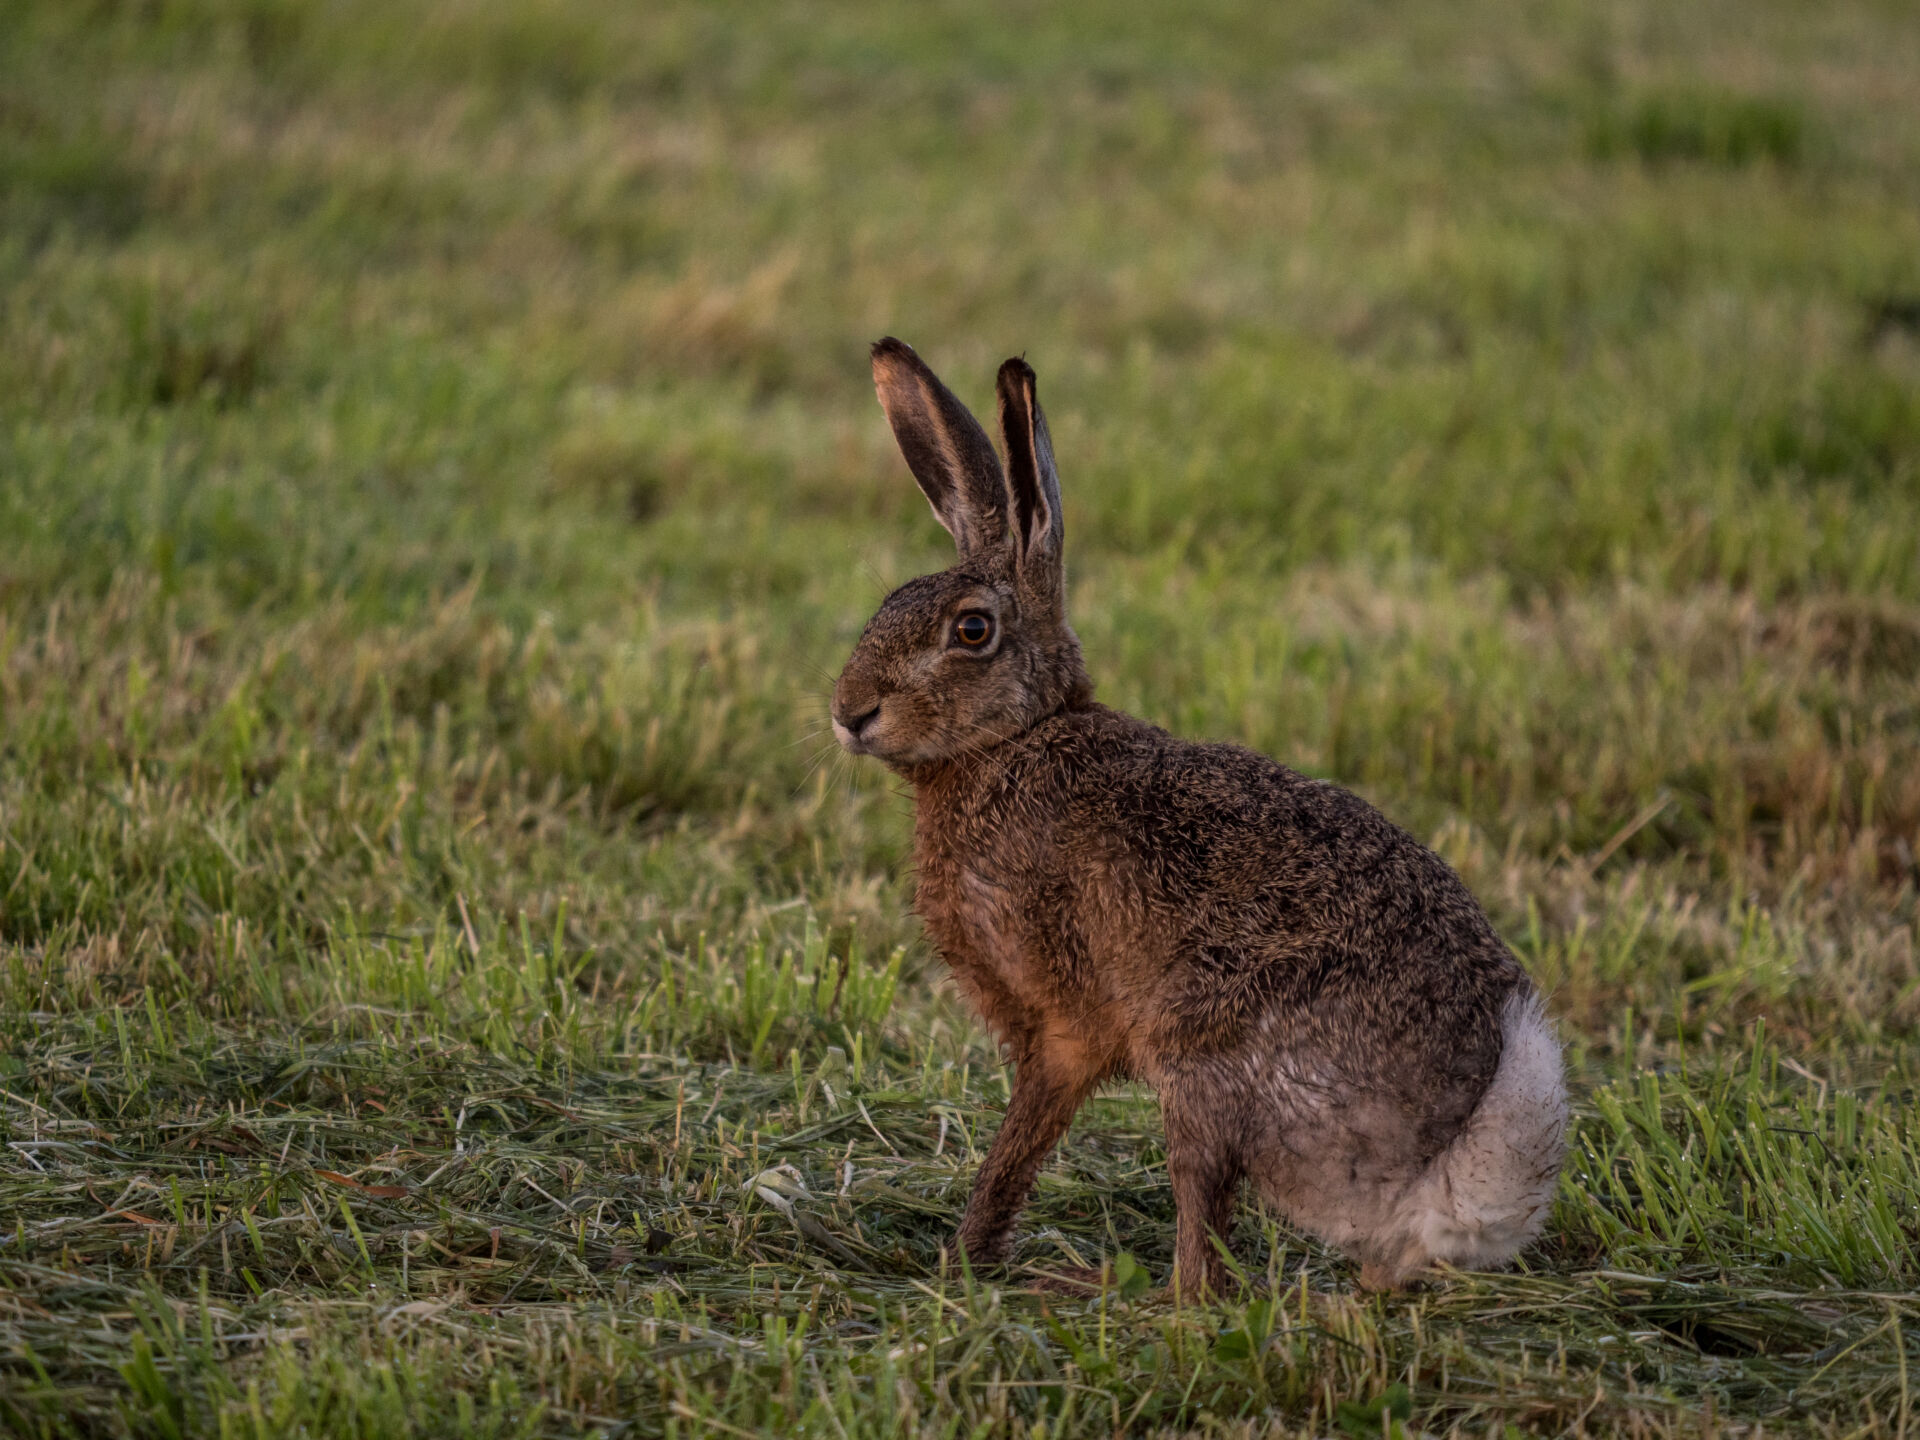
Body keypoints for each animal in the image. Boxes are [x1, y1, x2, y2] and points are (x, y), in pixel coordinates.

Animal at [831, 338, 1567, 1294]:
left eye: (971, 631)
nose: (849, 713)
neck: (1016, 741)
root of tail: (1438, 1179)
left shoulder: (1066, 1021)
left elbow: (1021, 1139)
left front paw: (966, 1257)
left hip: (1202, 1060)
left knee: (1202, 1267)